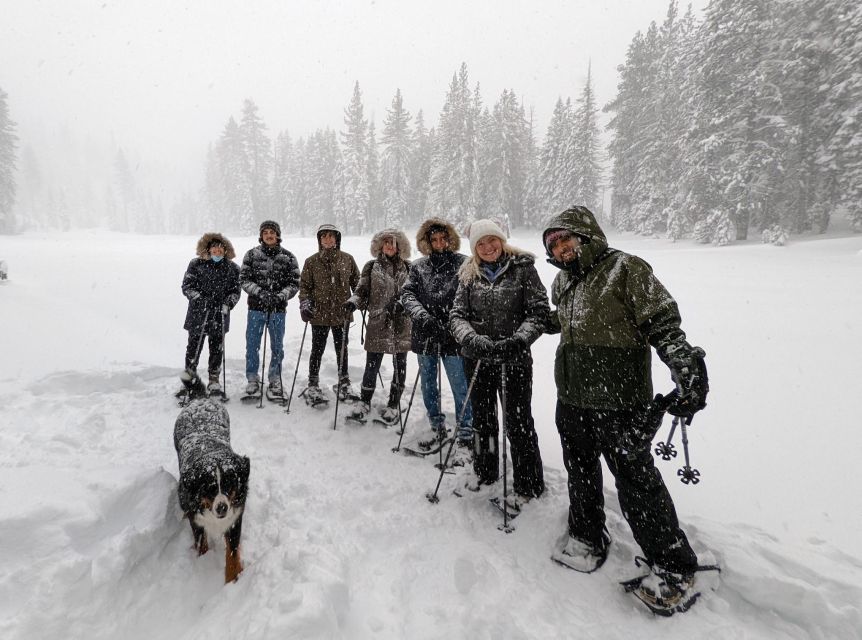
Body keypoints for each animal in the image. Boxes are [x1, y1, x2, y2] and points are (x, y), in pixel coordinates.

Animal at [174, 384, 250, 584]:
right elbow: (202, 545)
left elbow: (232, 552)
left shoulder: (235, 518)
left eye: (229, 485)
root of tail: (200, 398)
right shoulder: (196, 520)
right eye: (210, 489)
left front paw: (232, 579)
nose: (222, 507)